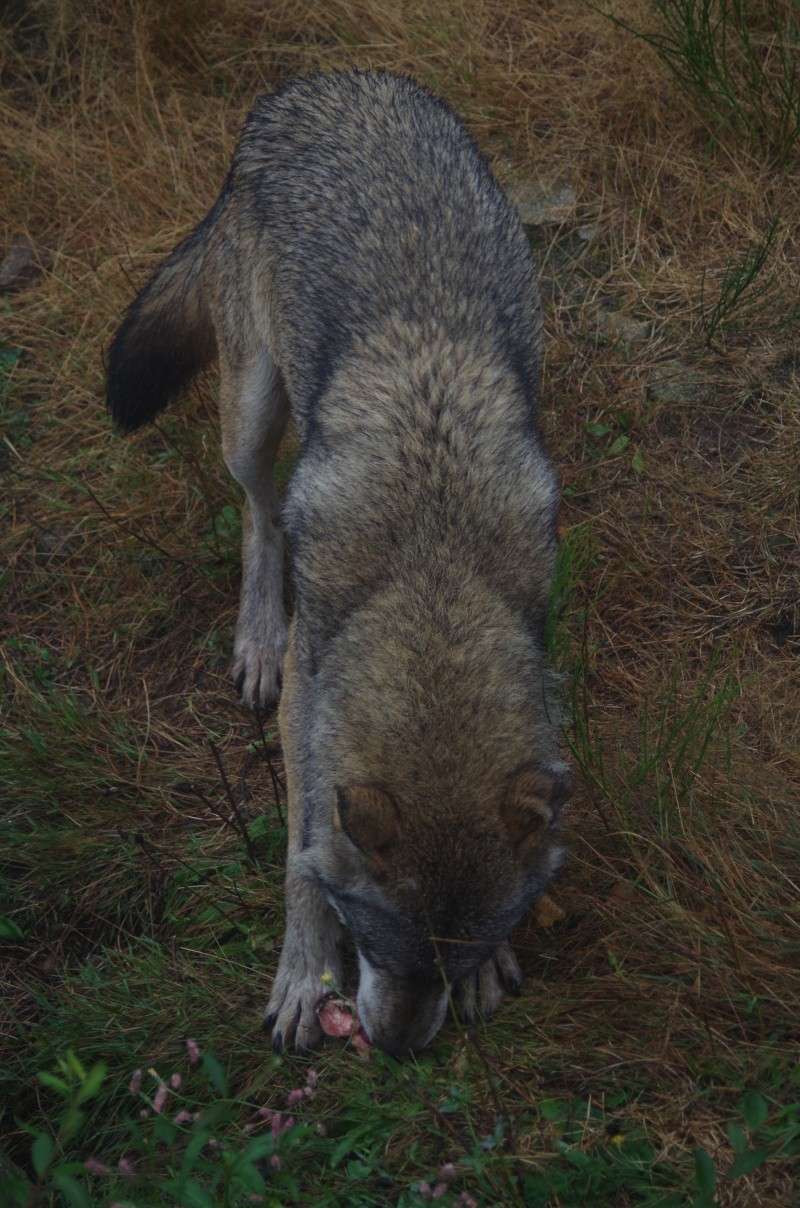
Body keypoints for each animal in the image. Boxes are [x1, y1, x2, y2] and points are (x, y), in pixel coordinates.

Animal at [108, 70, 570, 1053]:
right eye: (370, 938)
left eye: (460, 956)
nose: (395, 1050)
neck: (433, 566)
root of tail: (319, 83)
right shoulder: (312, 704)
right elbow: (297, 852)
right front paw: (300, 974)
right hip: (252, 414)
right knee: (258, 517)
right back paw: (255, 640)